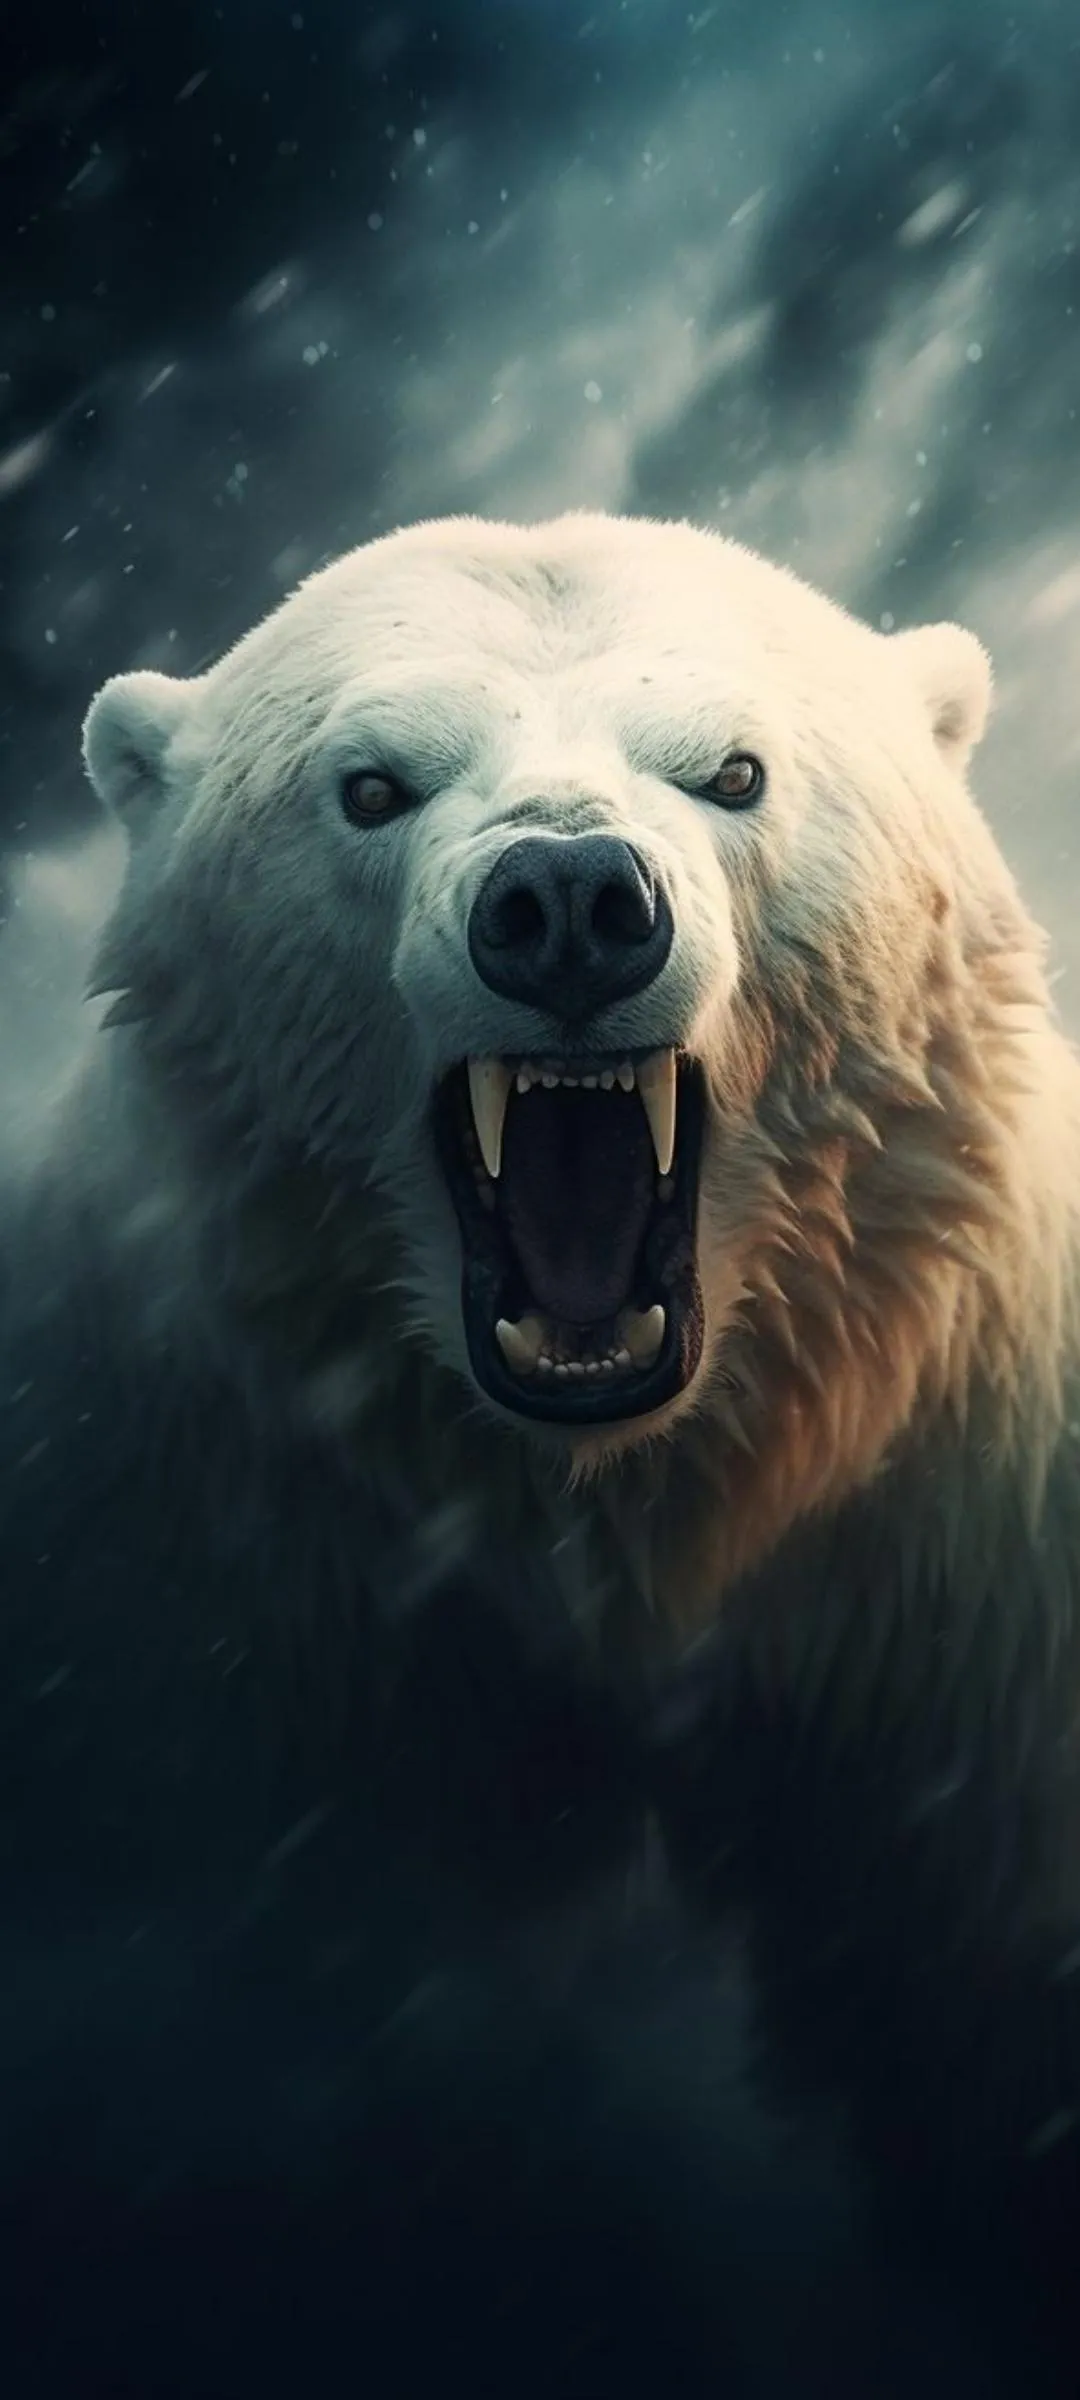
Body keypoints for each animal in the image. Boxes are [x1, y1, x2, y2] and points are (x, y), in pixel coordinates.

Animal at [2, 507, 1080, 2384]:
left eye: (735, 770)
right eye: (369, 785)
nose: (571, 905)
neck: (613, 1505)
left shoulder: (968, 1571)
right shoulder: (200, 1576)